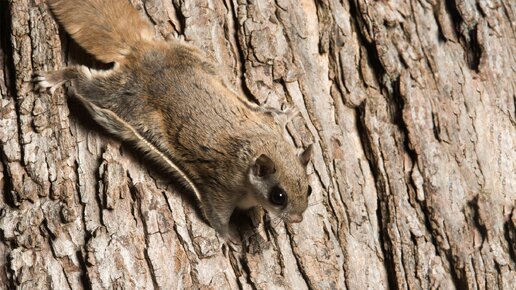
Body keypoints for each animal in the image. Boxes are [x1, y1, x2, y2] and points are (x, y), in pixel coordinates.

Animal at [35, 0, 314, 242]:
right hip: (120, 95)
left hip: (193, 56)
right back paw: (57, 77)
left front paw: (288, 113)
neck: (257, 148)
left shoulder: (265, 124)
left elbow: (272, 115)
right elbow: (217, 215)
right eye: (279, 196)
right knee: (83, 80)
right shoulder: (221, 186)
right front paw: (227, 238)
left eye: (309, 189)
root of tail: (139, 50)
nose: (298, 219)